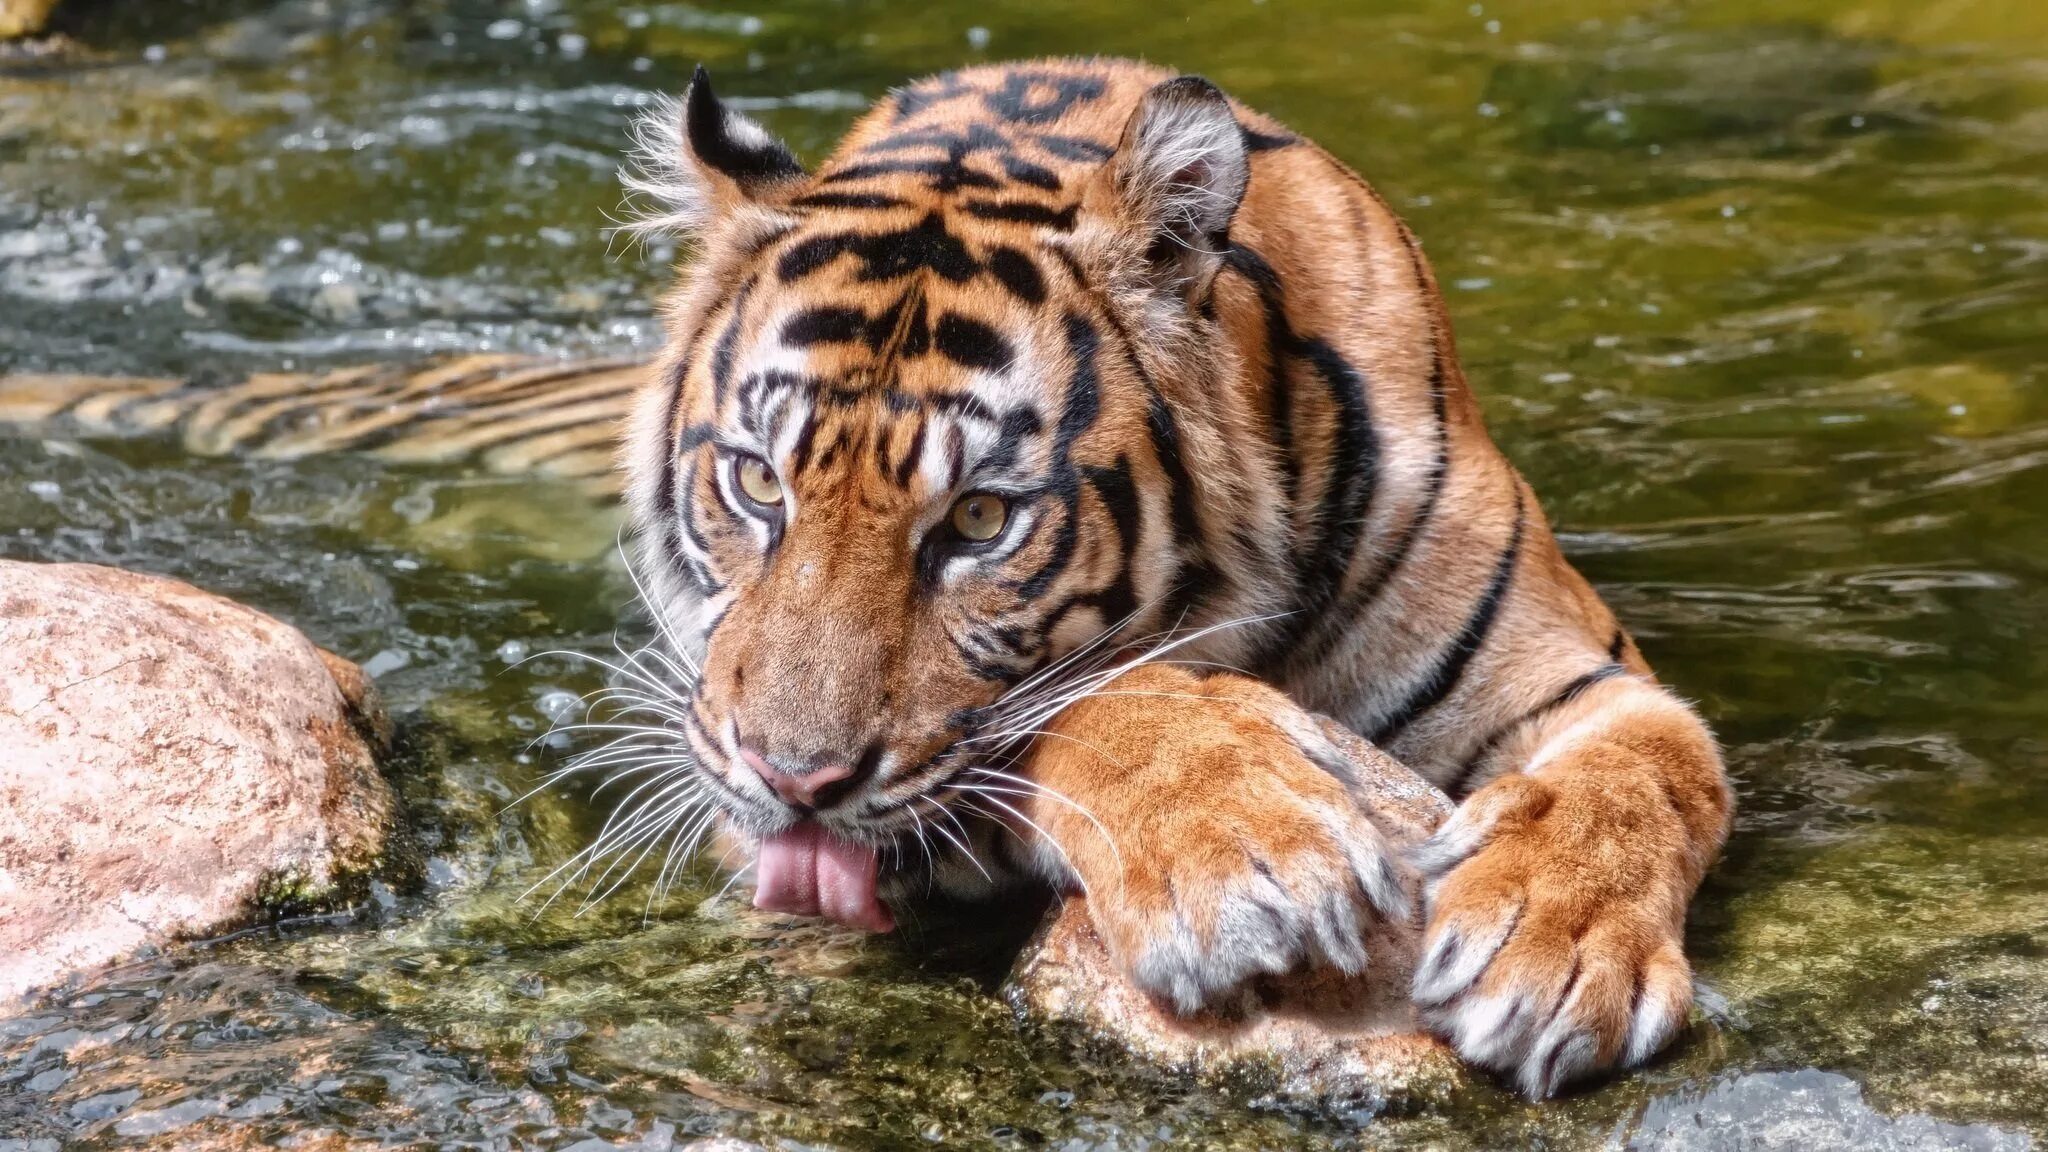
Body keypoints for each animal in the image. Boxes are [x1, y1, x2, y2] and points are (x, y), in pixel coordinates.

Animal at [0, 60, 1744, 1090]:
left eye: (977, 523)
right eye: (758, 485)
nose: (794, 781)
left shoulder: (1586, 681)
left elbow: (1653, 778)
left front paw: (1552, 953)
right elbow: (1075, 715)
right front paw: (1250, 853)